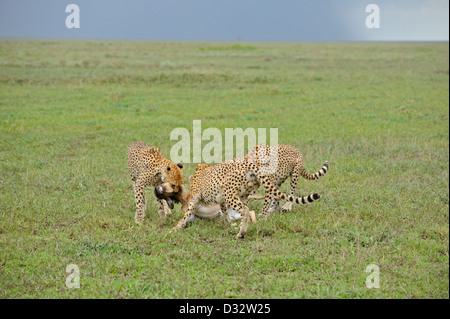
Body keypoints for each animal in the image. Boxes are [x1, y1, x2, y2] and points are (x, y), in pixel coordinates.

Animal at [169, 162, 320, 238]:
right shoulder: (222, 200)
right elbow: (224, 213)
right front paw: (229, 225)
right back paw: (243, 228)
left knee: (245, 210)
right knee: (246, 209)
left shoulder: (196, 199)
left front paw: (176, 228)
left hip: (231, 194)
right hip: (242, 195)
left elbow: (187, 213)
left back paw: (241, 233)